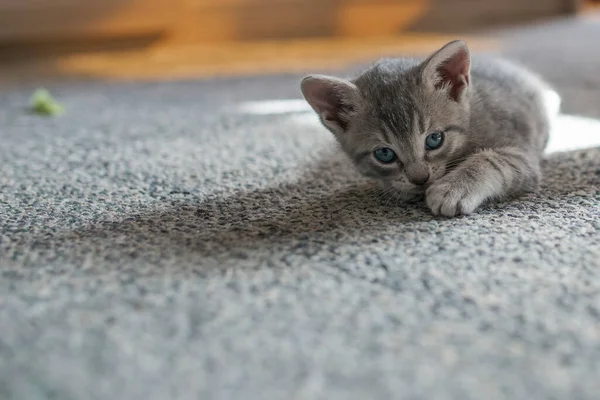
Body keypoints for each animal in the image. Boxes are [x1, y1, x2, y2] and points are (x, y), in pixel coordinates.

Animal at [302, 39, 560, 217]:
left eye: (434, 139)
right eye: (384, 154)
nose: (420, 178)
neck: (469, 121)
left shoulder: (522, 154)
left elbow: (491, 160)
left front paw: (454, 188)